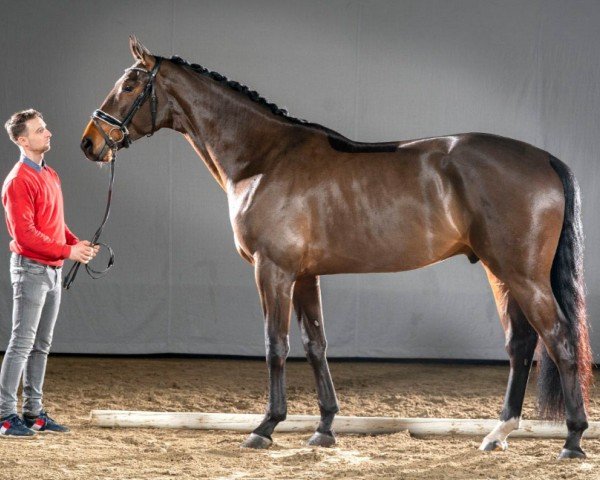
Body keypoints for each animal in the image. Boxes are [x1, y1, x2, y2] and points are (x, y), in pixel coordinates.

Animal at [79, 36, 592, 458]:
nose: (90, 143)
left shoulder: (273, 270)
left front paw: (265, 427)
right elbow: (315, 344)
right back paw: (498, 433)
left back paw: (572, 439)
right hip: (499, 271)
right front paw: (324, 427)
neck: (263, 159)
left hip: (522, 275)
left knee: (560, 339)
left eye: (129, 84)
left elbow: (276, 344)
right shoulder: (305, 275)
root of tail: (544, 158)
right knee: (522, 343)